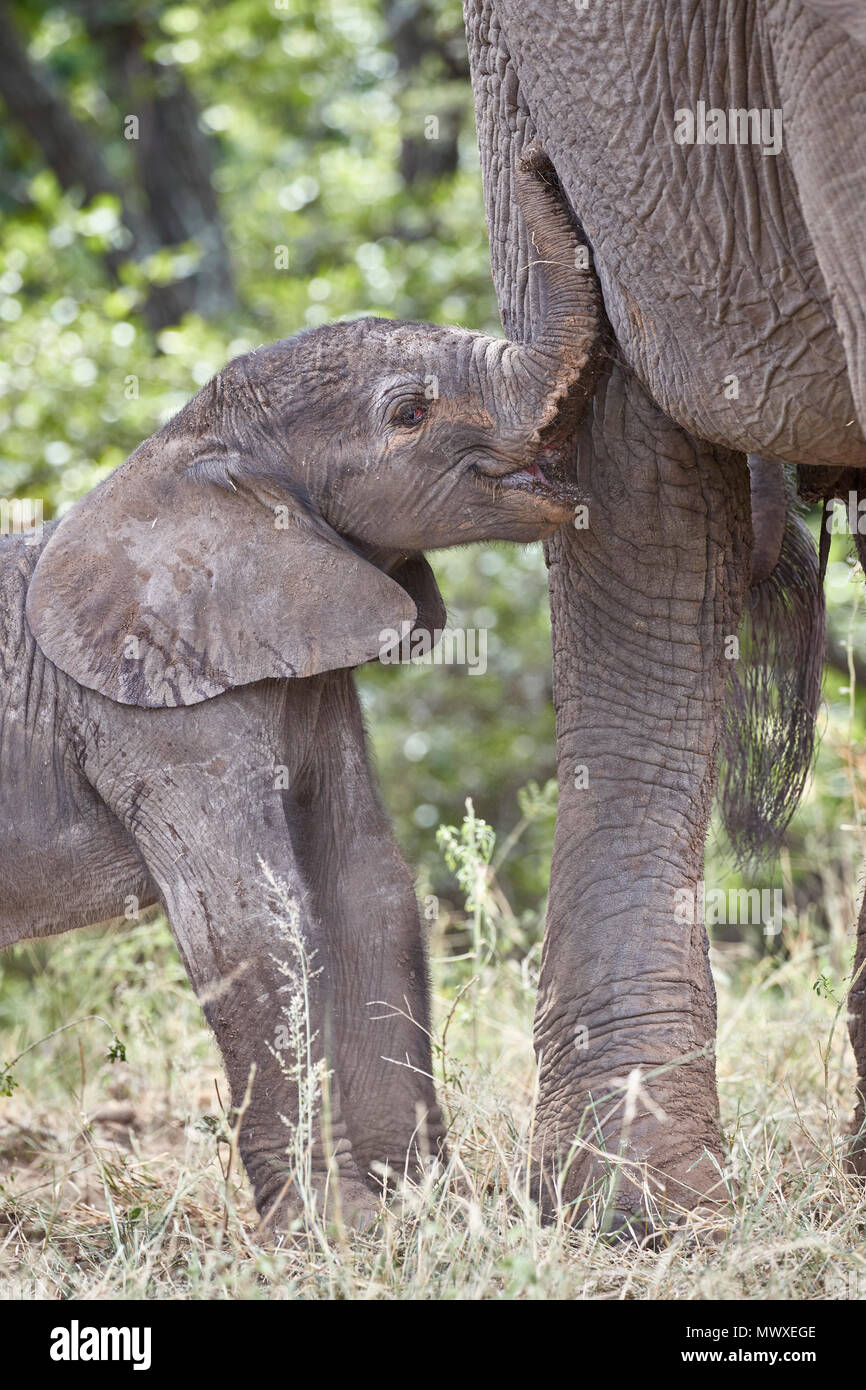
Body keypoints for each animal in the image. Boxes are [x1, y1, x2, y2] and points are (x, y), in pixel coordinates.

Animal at [0, 159, 603, 1228]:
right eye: (408, 414)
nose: (537, 162)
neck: (193, 444)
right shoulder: (152, 715)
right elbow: (252, 920)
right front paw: (332, 1229)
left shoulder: (306, 662)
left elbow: (364, 885)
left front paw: (416, 1210)